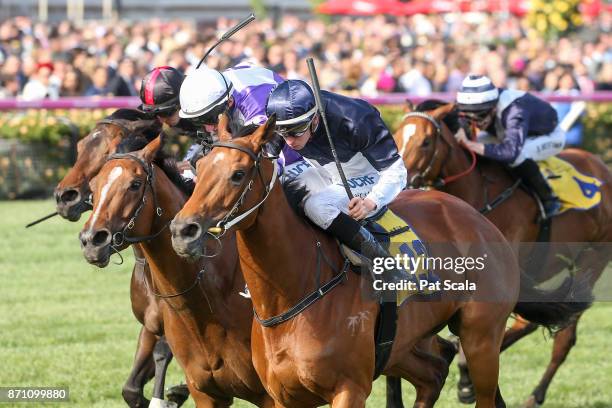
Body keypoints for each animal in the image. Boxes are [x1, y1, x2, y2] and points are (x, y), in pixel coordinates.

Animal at [52, 110, 186, 406]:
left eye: (109, 150)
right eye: (80, 146)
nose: (64, 196)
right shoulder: (149, 327)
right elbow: (131, 389)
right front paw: (174, 394)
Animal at [170, 113, 528, 406]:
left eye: (238, 173)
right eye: (200, 168)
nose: (182, 230)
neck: (296, 294)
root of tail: (479, 219)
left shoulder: (349, 388)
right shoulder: (283, 396)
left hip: (481, 338)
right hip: (402, 347)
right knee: (434, 374)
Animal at [394, 100, 608, 406]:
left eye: (425, 142)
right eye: (397, 135)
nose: (403, 183)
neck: (478, 194)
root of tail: (601, 166)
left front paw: (466, 378)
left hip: (592, 260)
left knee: (563, 337)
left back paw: (534, 394)